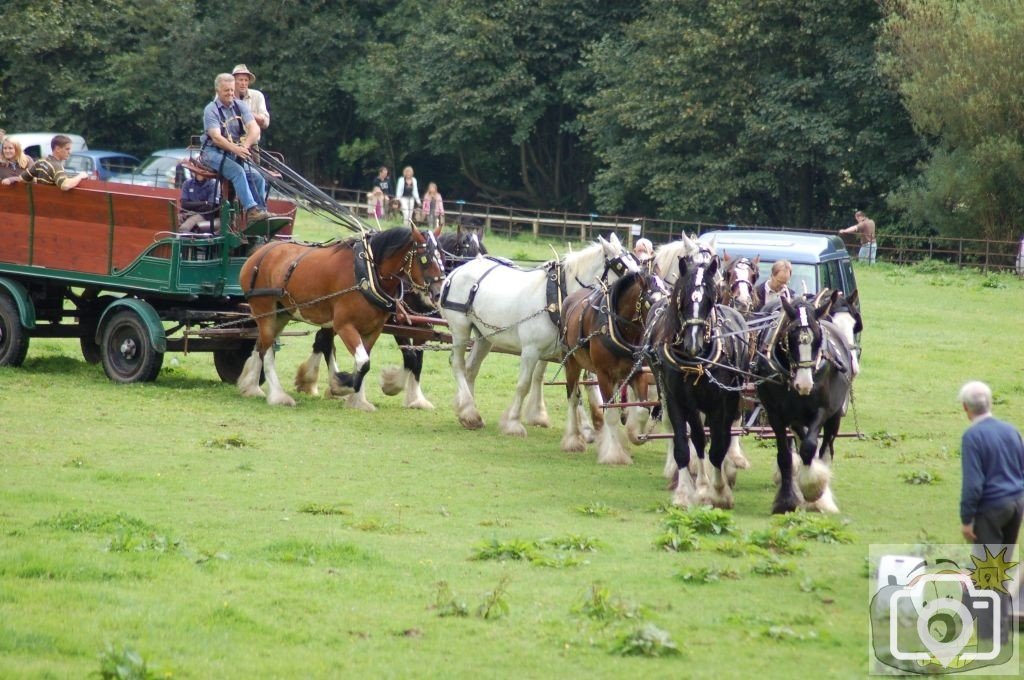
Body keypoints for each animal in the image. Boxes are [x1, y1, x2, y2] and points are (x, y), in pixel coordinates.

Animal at [241, 225, 450, 405]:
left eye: (442, 257)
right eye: (425, 259)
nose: (439, 293)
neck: (367, 274)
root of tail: (258, 254)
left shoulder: (374, 329)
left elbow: (366, 361)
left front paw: (357, 399)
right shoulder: (345, 325)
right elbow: (365, 362)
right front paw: (341, 385)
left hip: (282, 313)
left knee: (262, 344)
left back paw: (251, 387)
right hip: (265, 311)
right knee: (267, 349)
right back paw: (278, 395)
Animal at [442, 235, 638, 436]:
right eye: (622, 267)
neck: (559, 298)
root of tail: (457, 270)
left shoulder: (565, 352)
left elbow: (570, 384)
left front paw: (585, 427)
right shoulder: (531, 351)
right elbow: (524, 384)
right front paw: (513, 423)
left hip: (485, 337)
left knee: (471, 369)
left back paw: (468, 413)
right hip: (460, 330)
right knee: (458, 365)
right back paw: (468, 409)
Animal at [561, 272, 663, 466]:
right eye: (650, 301)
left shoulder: (637, 372)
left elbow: (642, 410)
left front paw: (635, 435)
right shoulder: (603, 375)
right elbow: (611, 414)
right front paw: (615, 454)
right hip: (571, 362)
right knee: (572, 398)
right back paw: (572, 440)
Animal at [647, 256, 753, 510]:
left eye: (709, 299)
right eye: (682, 297)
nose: (692, 343)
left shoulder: (719, 403)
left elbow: (717, 447)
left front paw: (719, 493)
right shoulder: (677, 400)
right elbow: (685, 445)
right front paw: (686, 493)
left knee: (722, 435)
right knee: (697, 436)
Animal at [757, 290, 851, 510]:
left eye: (817, 338)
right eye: (790, 337)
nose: (805, 384)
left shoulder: (823, 410)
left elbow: (809, 448)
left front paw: (813, 489)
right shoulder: (775, 414)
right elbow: (785, 457)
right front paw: (786, 501)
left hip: (834, 416)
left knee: (825, 450)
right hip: (796, 419)